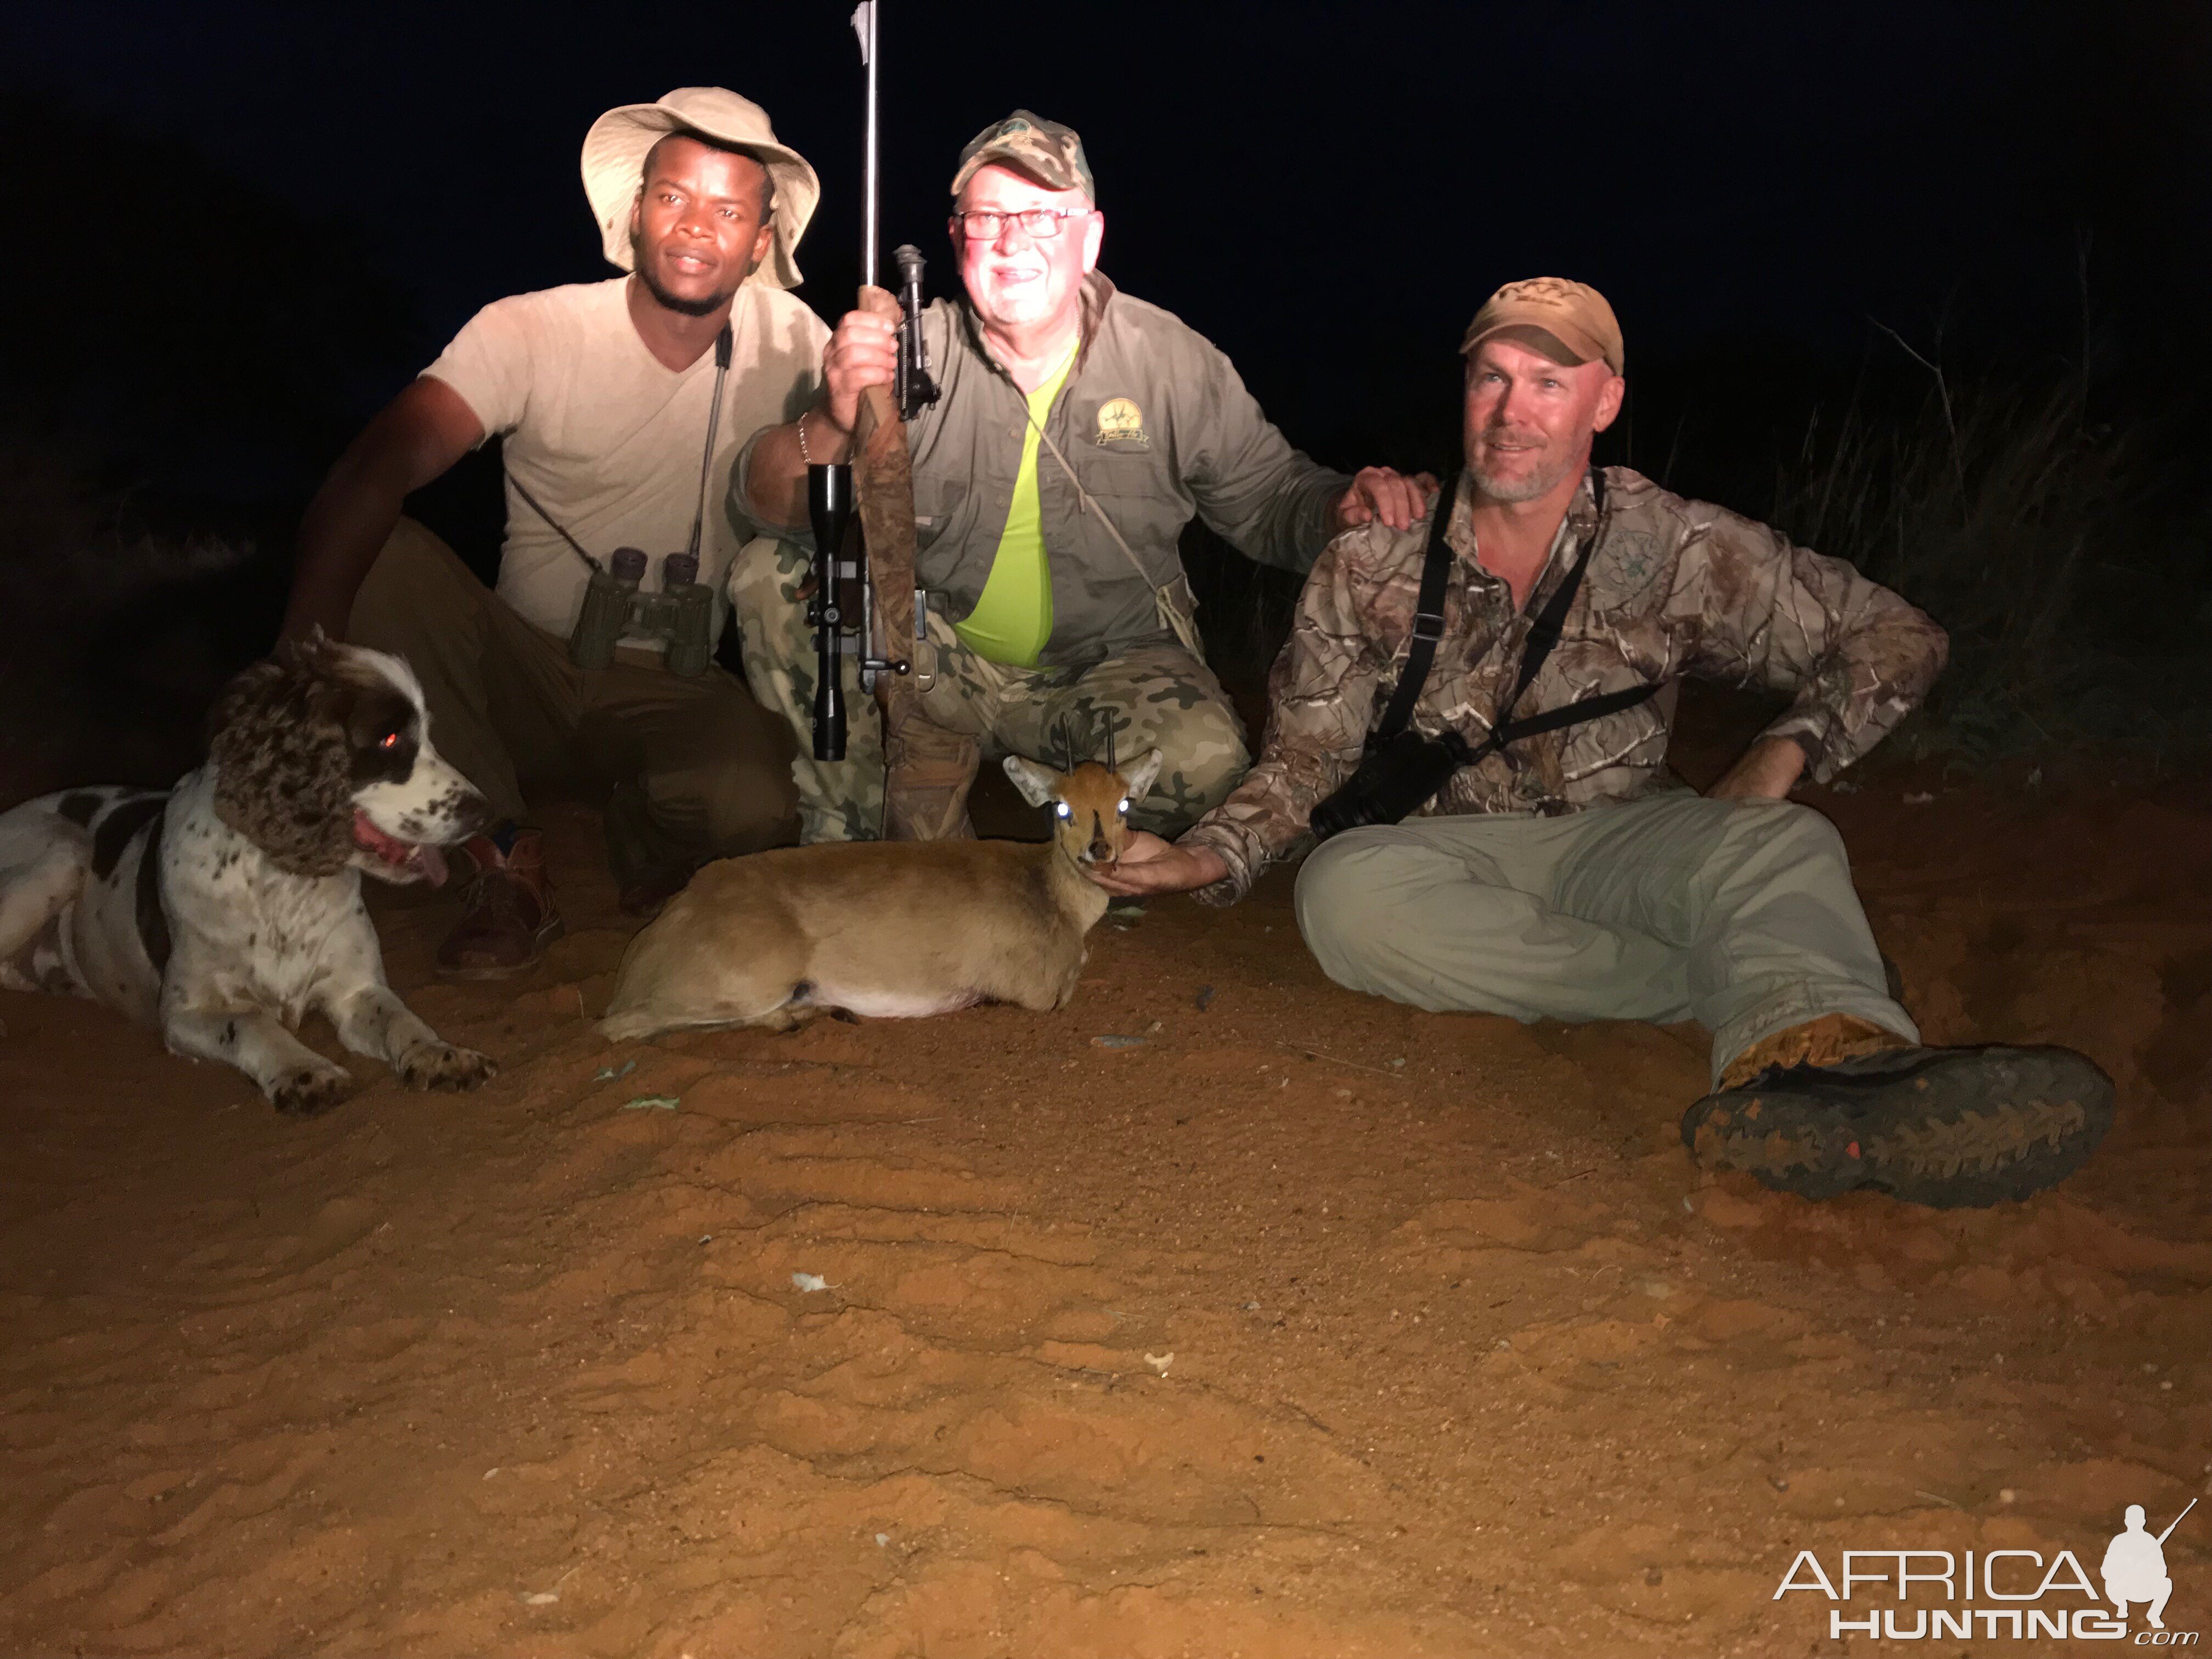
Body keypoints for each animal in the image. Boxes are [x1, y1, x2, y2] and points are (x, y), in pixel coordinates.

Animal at [0, 633, 500, 1119]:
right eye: (392, 739)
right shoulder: (186, 1011)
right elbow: (250, 1023)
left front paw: (440, 1054)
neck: (283, 884)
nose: (482, 812)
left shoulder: (354, 989)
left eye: (428, 734)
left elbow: (399, 1017)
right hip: (67, 854)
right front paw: (305, 1073)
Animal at [597, 743, 1167, 1040]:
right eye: (1062, 807)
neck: (1053, 898)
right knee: (622, 1026)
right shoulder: (1044, 993)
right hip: (748, 979)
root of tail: (638, 959)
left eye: (1124, 804)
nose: (1100, 849)